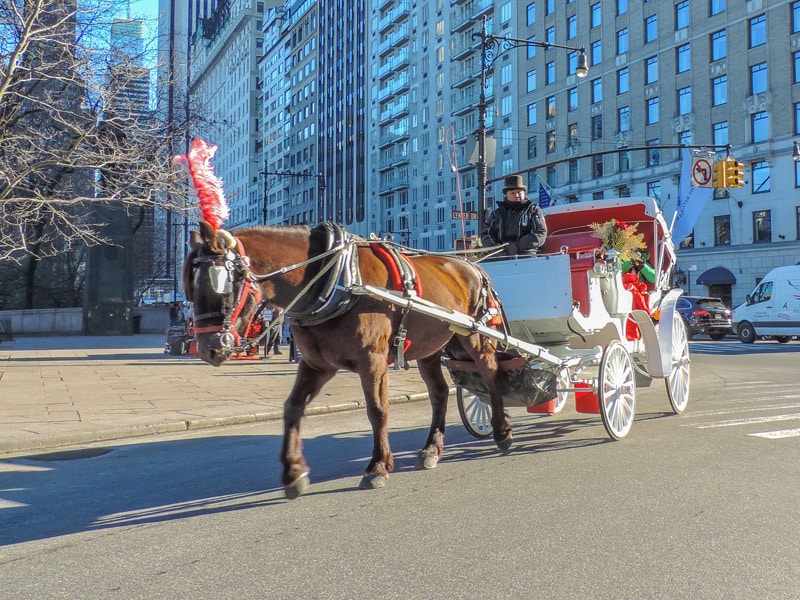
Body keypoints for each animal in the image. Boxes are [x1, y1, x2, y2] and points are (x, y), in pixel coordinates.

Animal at [185, 219, 512, 496]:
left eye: (222, 281)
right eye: (190, 285)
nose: (207, 348)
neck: (337, 279)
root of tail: (472, 265)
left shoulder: (373, 359)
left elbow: (377, 410)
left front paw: (378, 467)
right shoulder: (316, 364)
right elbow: (292, 408)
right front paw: (293, 472)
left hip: (474, 335)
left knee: (490, 371)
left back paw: (502, 431)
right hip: (430, 347)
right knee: (440, 393)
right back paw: (432, 449)